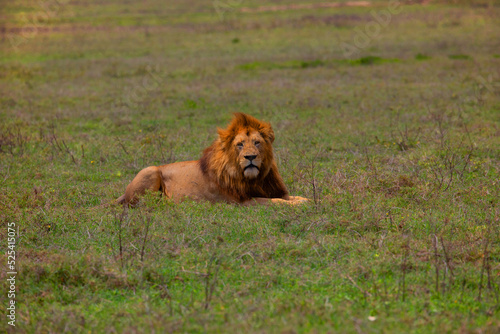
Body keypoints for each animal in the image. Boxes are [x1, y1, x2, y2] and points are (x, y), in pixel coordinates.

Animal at [117, 113, 308, 205]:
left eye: (257, 142)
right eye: (240, 144)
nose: (251, 156)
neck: (256, 179)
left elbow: (295, 198)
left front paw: (308, 201)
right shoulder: (241, 202)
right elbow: (276, 203)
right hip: (149, 170)